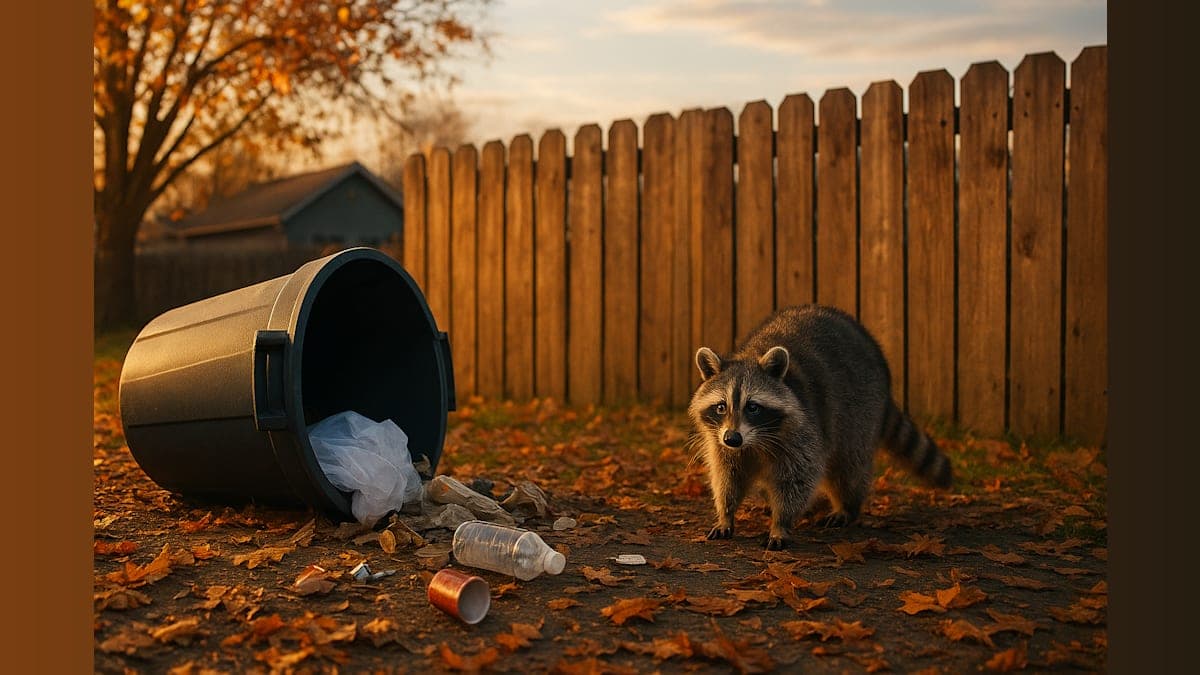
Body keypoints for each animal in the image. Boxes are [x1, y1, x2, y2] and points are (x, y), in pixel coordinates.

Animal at [687, 304, 953, 550]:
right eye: (721, 407)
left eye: (752, 407)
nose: (733, 439)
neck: (756, 440)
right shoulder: (720, 439)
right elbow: (727, 475)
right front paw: (726, 514)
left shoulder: (804, 430)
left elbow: (799, 477)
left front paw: (780, 523)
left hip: (860, 412)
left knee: (848, 468)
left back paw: (847, 506)